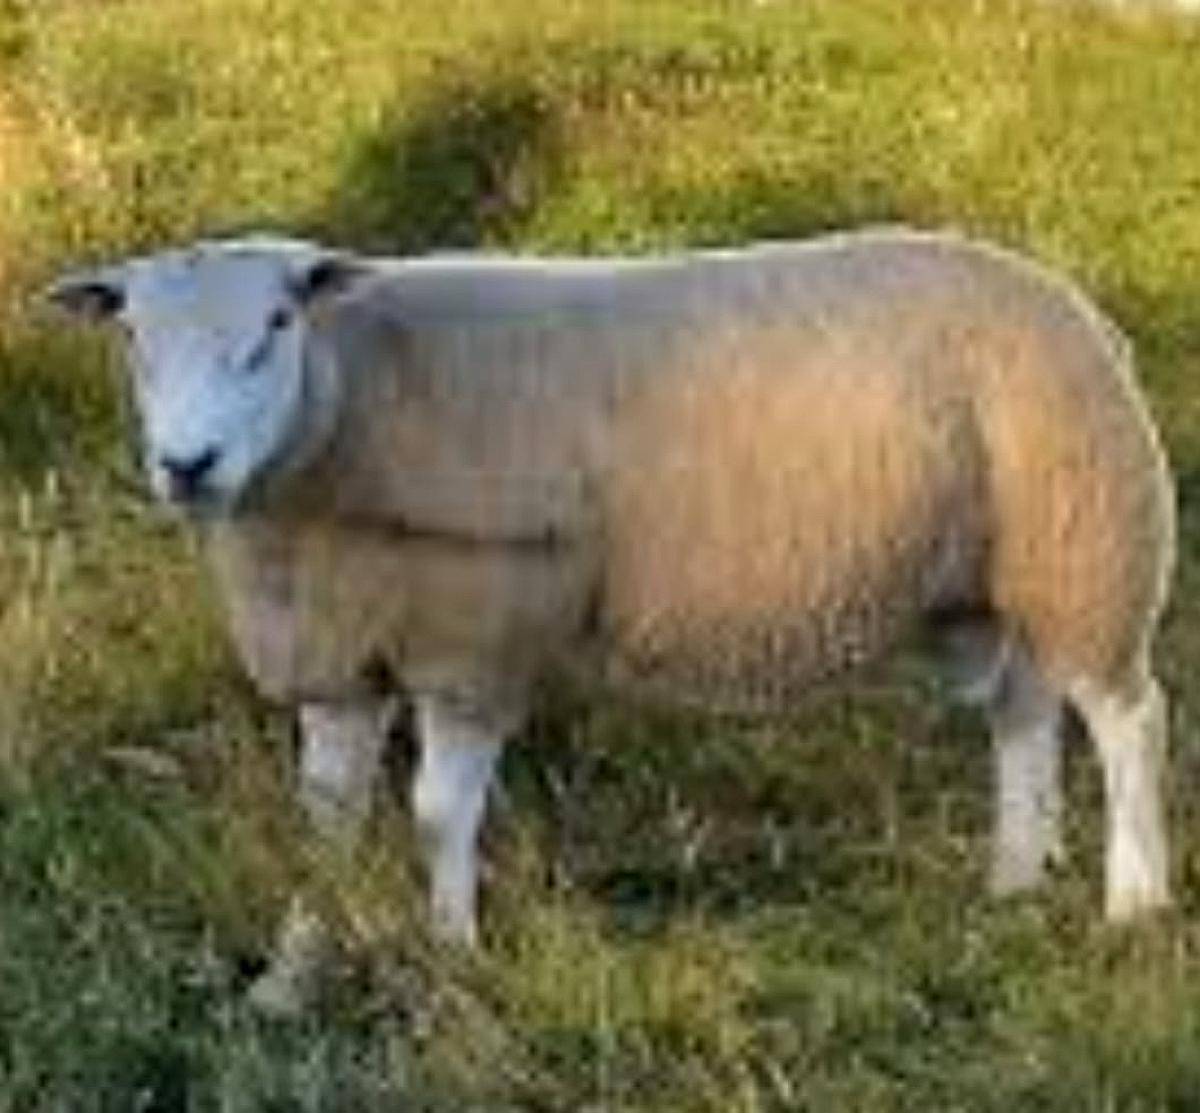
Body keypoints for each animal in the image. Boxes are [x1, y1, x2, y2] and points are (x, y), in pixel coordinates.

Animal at [48, 227, 1176, 1012]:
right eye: (132, 335)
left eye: (278, 326)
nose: (186, 465)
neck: (349, 407)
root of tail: (1076, 305)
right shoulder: (338, 654)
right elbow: (323, 823)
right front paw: (289, 978)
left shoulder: (474, 641)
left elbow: (436, 814)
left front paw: (454, 955)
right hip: (993, 582)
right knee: (1022, 715)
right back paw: (1014, 882)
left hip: (1091, 541)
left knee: (1128, 718)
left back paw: (1136, 905)